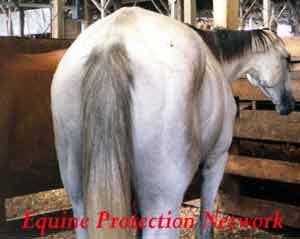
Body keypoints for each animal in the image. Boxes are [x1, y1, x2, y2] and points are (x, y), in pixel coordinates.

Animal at [51, 6, 292, 238]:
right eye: (288, 59)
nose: (289, 104)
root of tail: (112, 42)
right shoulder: (216, 161)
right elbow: (204, 227)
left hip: (79, 199)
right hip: (164, 201)